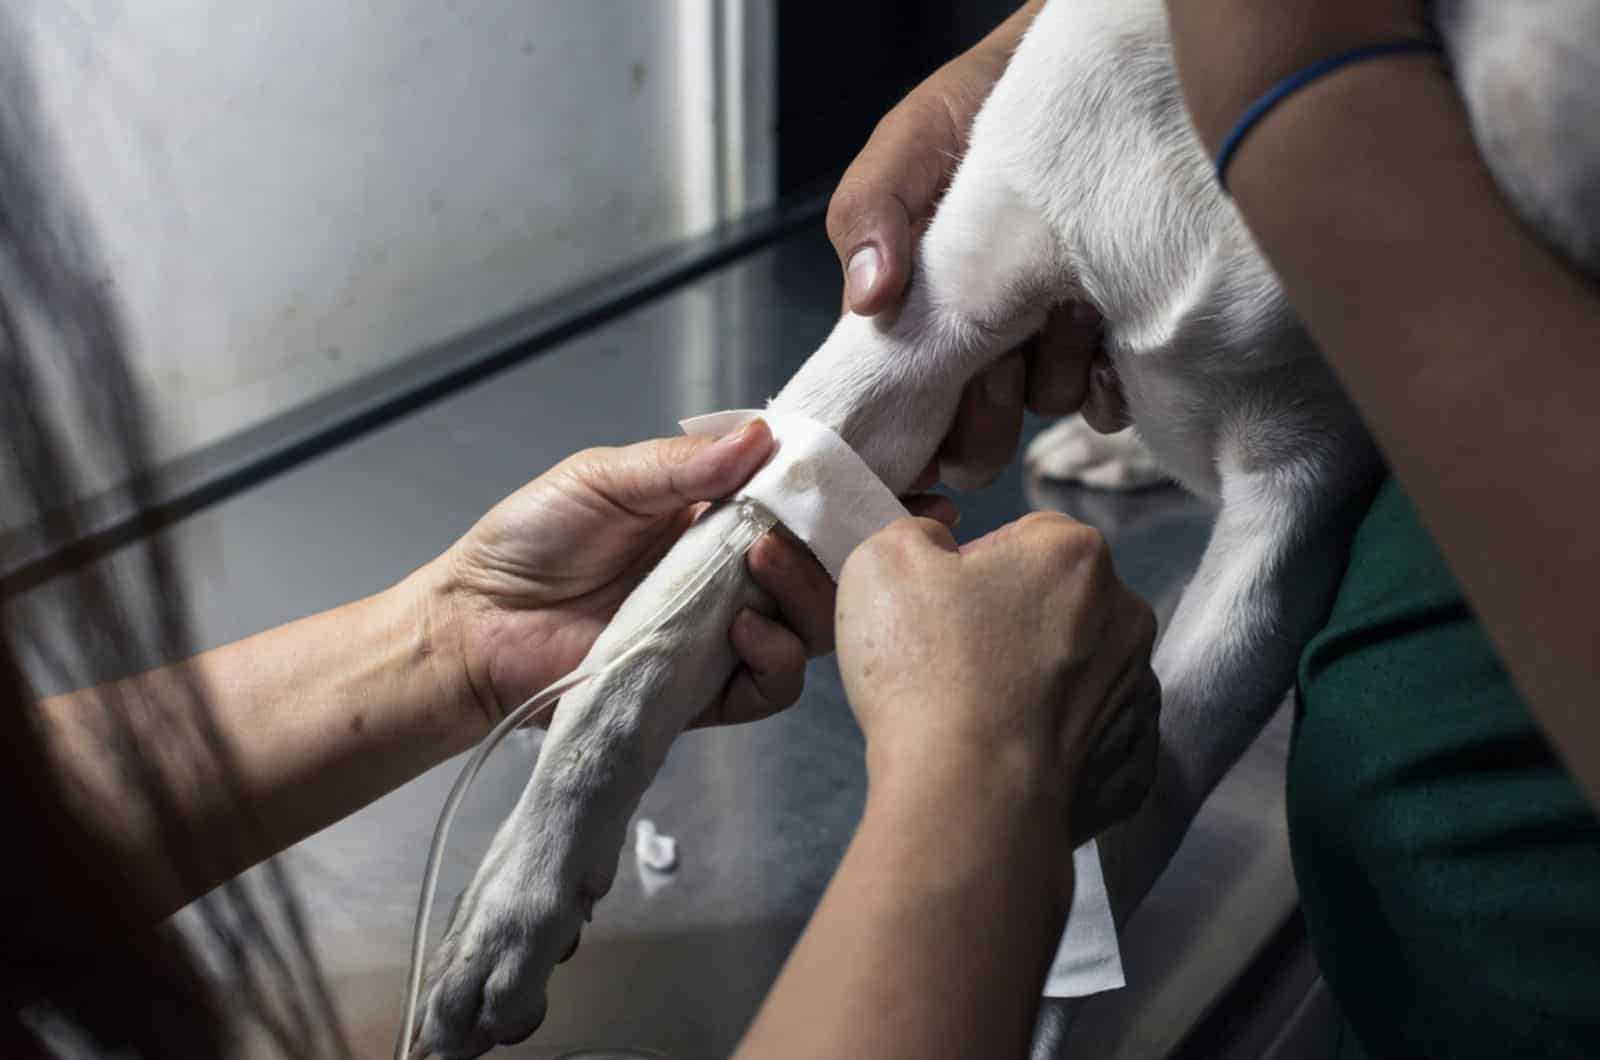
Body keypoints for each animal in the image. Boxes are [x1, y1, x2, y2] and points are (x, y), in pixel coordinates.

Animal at [416, 4, 1600, 1056]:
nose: (1567, 211)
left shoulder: (1295, 507)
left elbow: (1137, 814)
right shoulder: (929, 314)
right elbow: (658, 625)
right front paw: (522, 893)